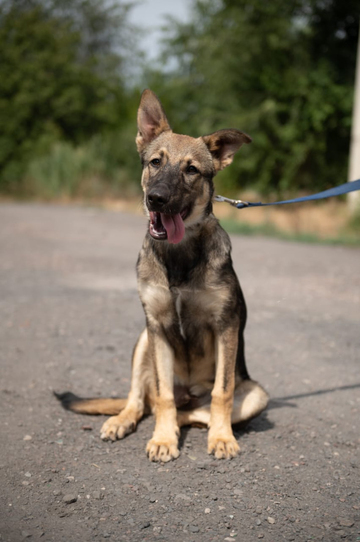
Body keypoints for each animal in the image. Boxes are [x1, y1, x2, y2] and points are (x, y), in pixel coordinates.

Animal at [56, 90, 268, 464]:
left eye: (192, 170)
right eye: (155, 162)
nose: (156, 199)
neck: (178, 254)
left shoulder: (225, 325)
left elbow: (222, 392)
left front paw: (221, 437)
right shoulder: (156, 324)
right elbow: (163, 393)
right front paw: (164, 439)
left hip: (257, 394)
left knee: (191, 410)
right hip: (144, 340)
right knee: (144, 400)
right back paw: (122, 420)